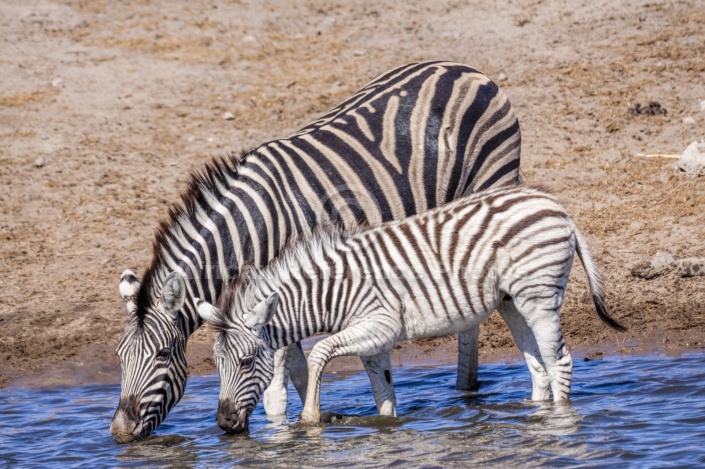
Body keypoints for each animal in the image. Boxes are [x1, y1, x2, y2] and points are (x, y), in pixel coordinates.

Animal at [108, 59, 516, 442]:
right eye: (119, 358)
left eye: (162, 355)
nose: (120, 432)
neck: (251, 231)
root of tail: (463, 69)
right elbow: (298, 370)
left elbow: (279, 382)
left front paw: (285, 431)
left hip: (491, 181)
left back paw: (468, 393)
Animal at [197, 186, 620, 428]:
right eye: (215, 364)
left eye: (247, 363)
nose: (223, 422)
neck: (331, 290)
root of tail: (557, 206)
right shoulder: (374, 345)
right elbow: (385, 401)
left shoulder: (378, 324)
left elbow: (319, 352)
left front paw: (311, 418)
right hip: (511, 303)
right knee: (539, 369)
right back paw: (533, 416)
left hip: (538, 297)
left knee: (558, 362)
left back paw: (560, 422)